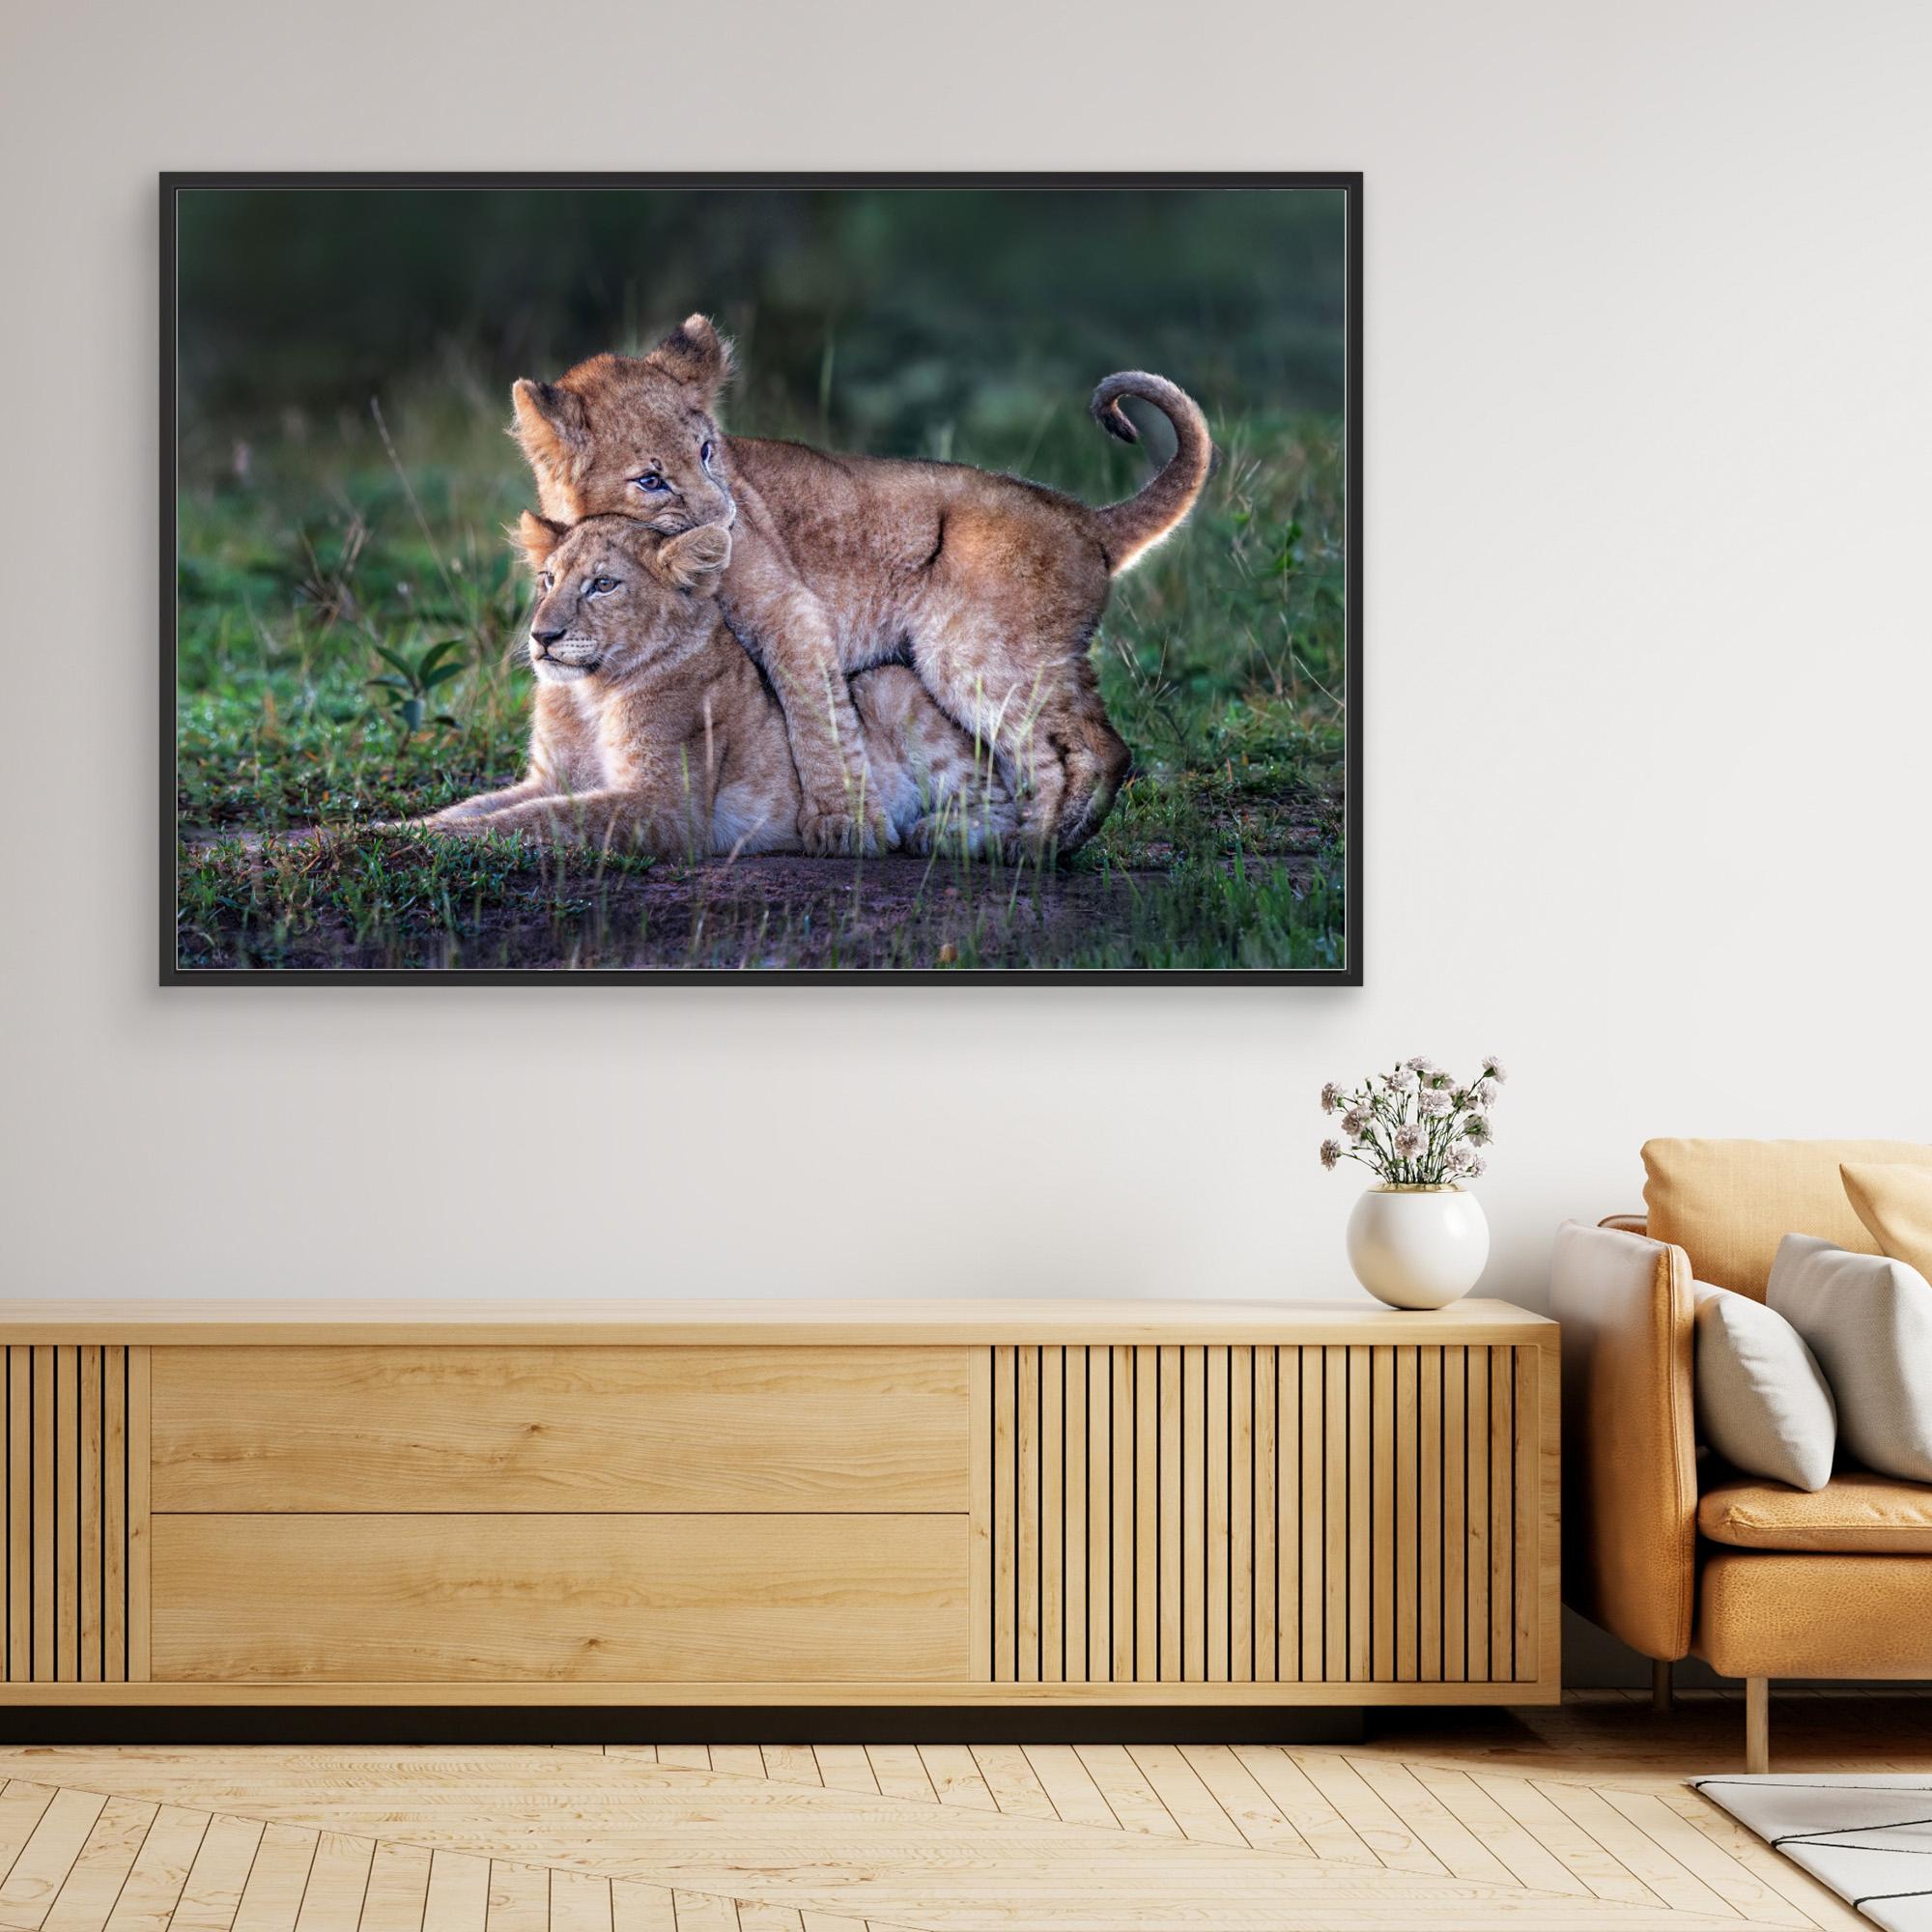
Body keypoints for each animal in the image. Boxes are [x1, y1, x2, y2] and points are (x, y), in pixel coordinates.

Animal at [423, 513, 1019, 862]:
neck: (589, 694)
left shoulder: (666, 807)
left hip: (887, 682)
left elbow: (542, 818)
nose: (542, 636)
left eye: (604, 585)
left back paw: (941, 834)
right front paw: (411, 826)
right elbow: (482, 806)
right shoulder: (551, 778)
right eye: (548, 579)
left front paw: (436, 839)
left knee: (1004, 804)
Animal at [509, 315, 1211, 859]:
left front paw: (843, 824)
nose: (726, 520)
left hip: (973, 654)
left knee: (1090, 749)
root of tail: (1085, 517)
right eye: (650, 480)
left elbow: (816, 716)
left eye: (708, 452)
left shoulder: (789, 610)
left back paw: (1031, 847)